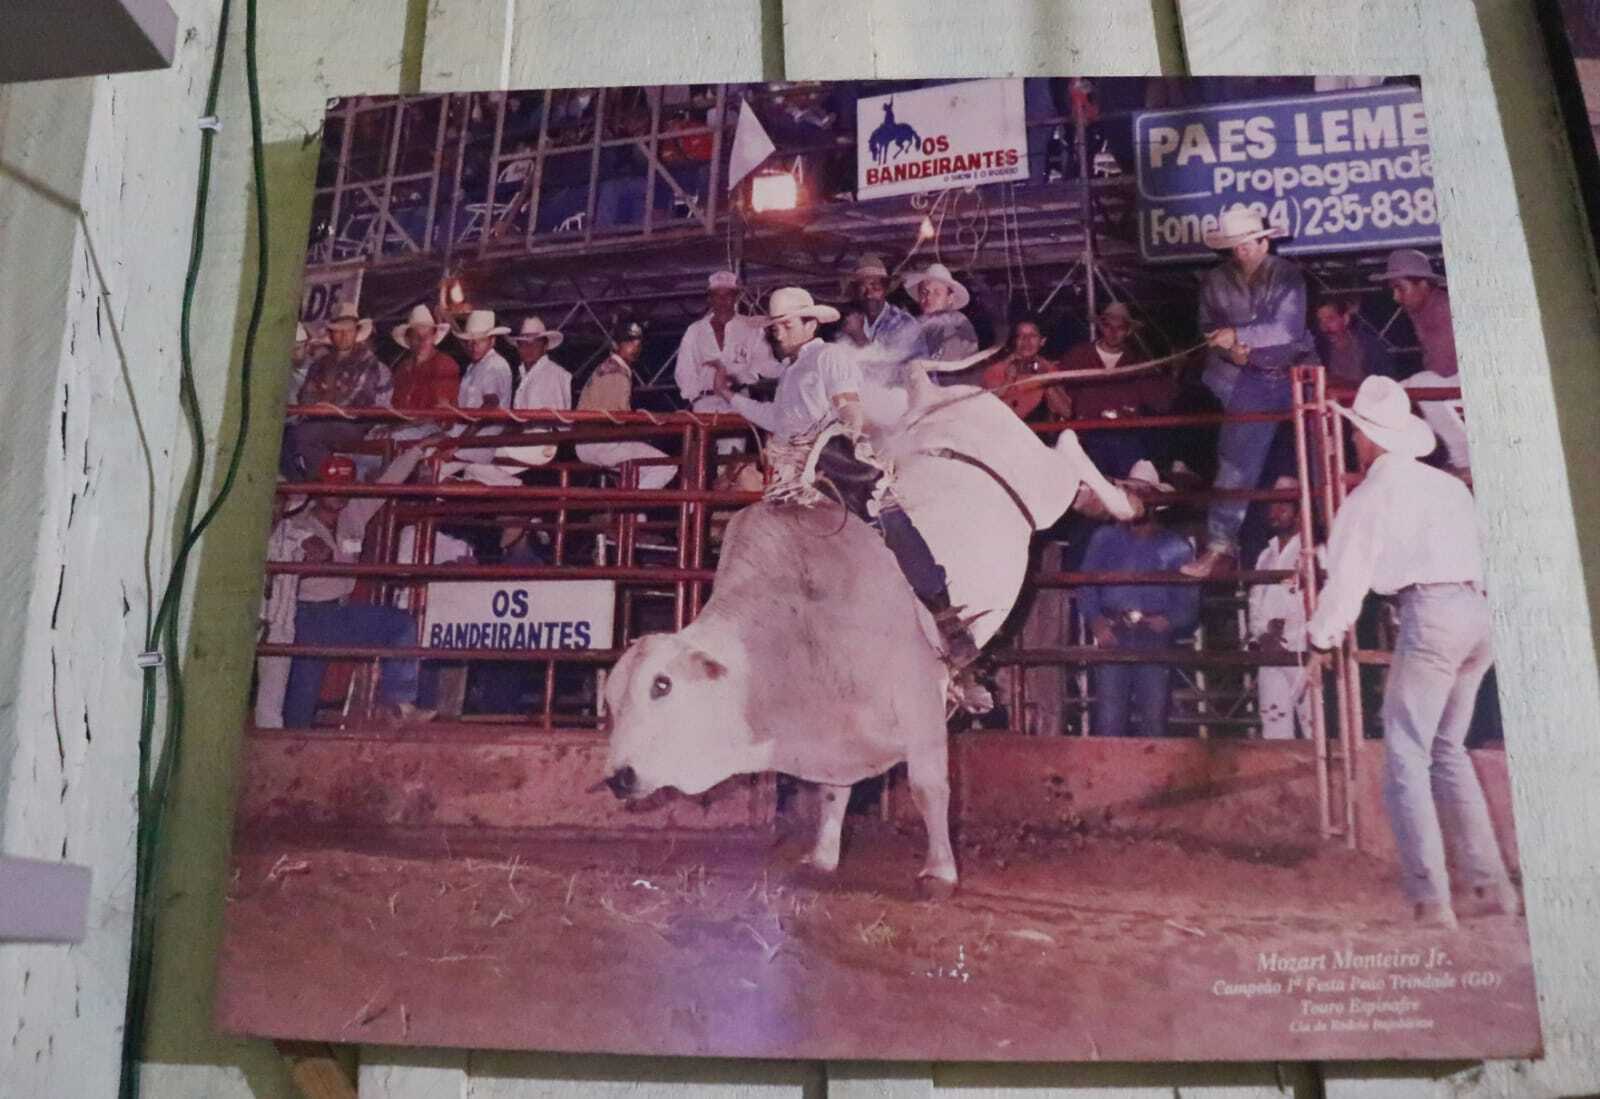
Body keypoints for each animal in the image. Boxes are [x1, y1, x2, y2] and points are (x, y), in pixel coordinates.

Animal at [601, 369, 1139, 895]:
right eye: (609, 700)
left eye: (662, 685)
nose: (617, 778)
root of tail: (933, 396)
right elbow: (832, 793)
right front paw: (822, 856)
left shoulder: (919, 691)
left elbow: (927, 784)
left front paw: (939, 871)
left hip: (1039, 487)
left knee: (1067, 447)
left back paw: (1123, 502)